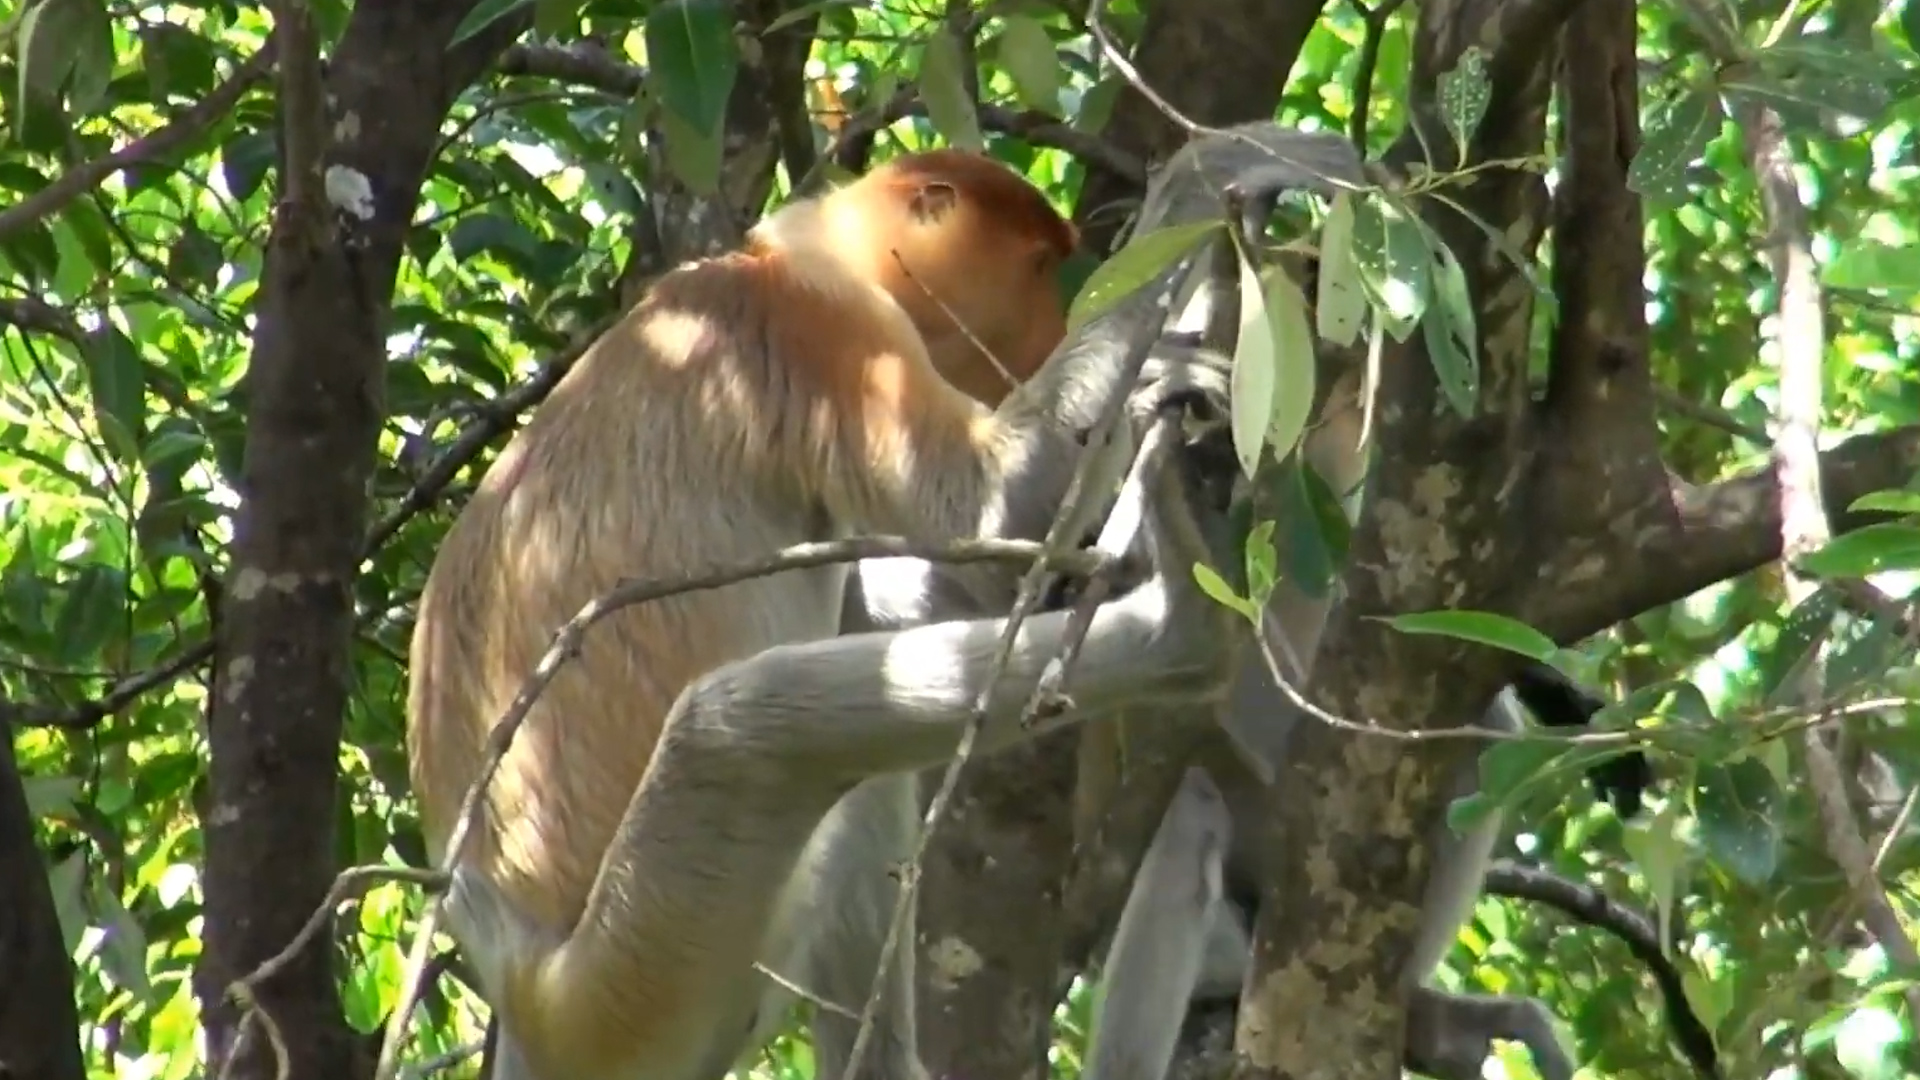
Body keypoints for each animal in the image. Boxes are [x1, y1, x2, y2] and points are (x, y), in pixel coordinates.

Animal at [405, 143, 1268, 1080]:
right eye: (1040, 268)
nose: (1051, 331)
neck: (779, 252)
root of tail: (518, 976)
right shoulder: (828, 330)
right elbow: (994, 502)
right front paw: (1234, 171)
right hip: (638, 977)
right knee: (739, 729)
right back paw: (1185, 621)